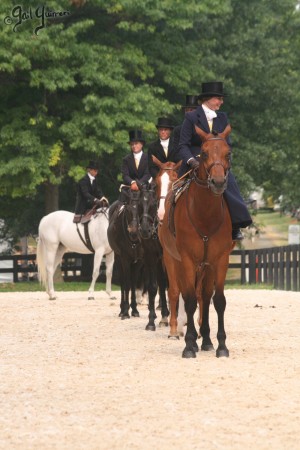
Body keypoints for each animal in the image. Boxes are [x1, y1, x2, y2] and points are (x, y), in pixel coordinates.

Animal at [107, 184, 169, 330]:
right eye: (129, 209)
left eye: (154, 204)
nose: (137, 230)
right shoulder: (127, 258)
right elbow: (128, 284)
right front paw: (125, 312)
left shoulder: (148, 259)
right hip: (119, 258)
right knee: (125, 282)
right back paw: (124, 309)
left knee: (136, 280)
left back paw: (135, 309)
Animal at [158, 125, 236, 356]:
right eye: (204, 153)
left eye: (228, 153)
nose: (218, 183)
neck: (205, 214)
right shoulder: (187, 260)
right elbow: (190, 299)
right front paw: (189, 345)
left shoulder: (220, 260)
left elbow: (217, 300)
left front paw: (221, 345)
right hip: (173, 260)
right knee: (181, 294)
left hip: (206, 265)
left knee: (205, 296)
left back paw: (207, 339)